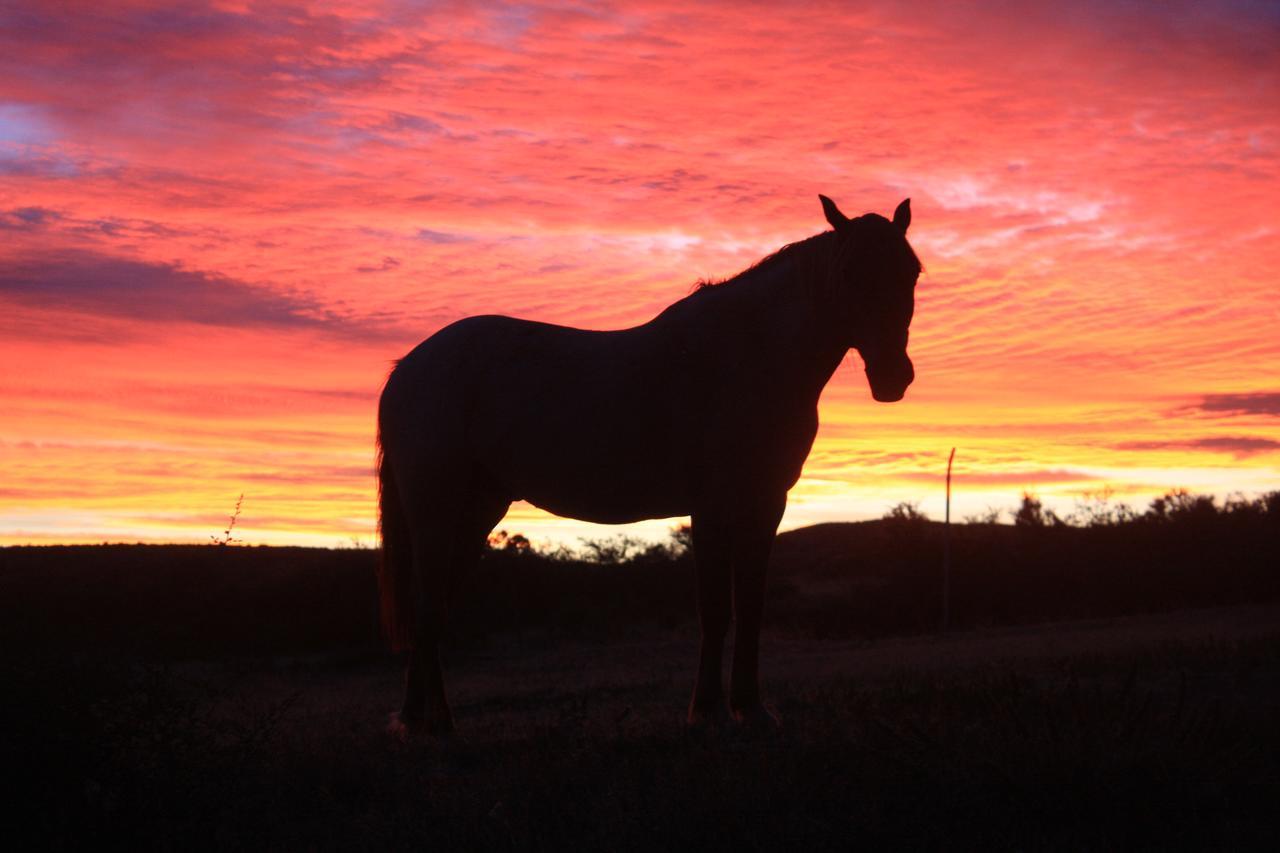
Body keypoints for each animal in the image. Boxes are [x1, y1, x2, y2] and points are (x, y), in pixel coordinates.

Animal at [376, 190, 921, 732]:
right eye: (849, 272)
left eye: (912, 271)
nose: (893, 377)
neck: (745, 358)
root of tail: (410, 367)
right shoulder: (711, 506)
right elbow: (715, 610)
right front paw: (708, 709)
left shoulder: (767, 503)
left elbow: (751, 604)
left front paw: (752, 708)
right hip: (436, 510)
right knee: (428, 605)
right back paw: (424, 721)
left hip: (477, 510)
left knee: (437, 605)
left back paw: (428, 718)